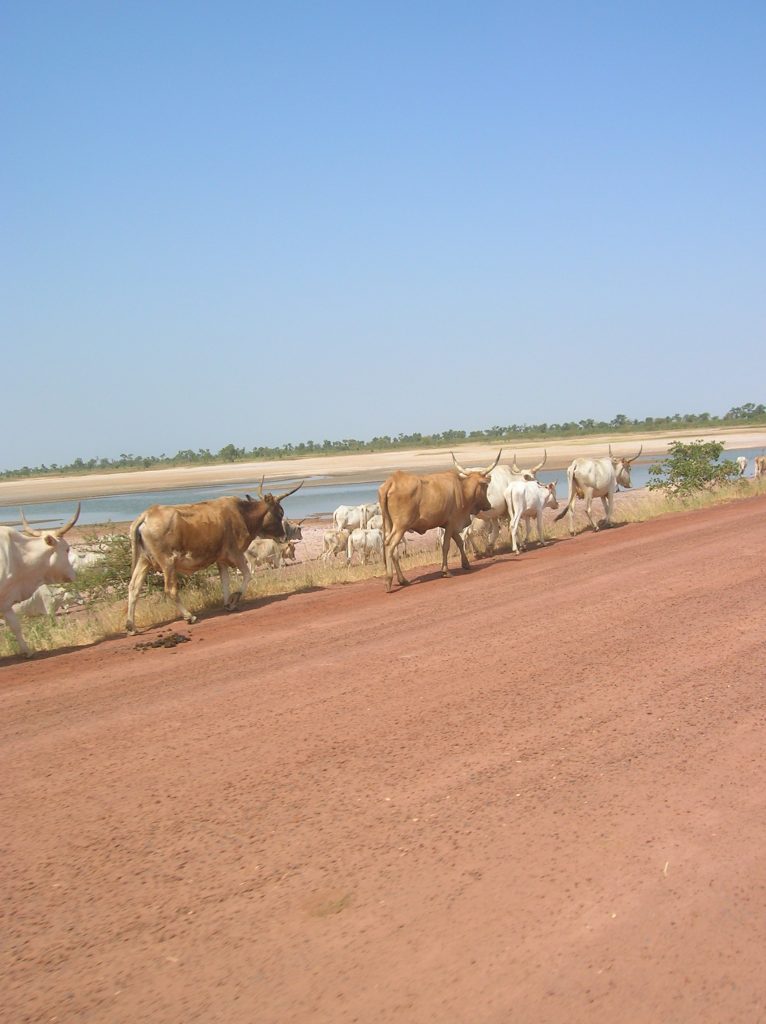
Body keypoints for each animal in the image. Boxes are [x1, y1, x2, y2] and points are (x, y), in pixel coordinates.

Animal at [378, 450, 501, 593]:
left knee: (393, 550)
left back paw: (403, 580)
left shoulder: (450, 524)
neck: (462, 490)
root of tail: (392, 480)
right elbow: (446, 545)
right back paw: (389, 580)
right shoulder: (451, 523)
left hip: (390, 525)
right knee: (390, 545)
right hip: (400, 527)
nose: (488, 505)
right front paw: (445, 571)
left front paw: (466, 563)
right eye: (485, 486)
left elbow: (459, 542)